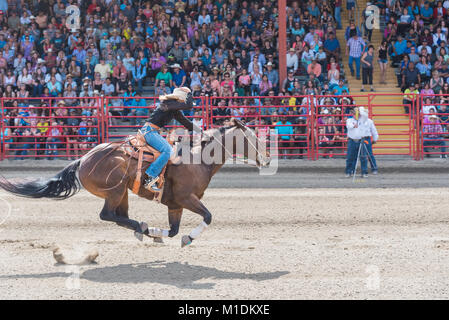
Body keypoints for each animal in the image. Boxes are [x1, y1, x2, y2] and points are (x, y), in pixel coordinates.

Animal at [0, 119, 270, 246]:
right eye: (253, 137)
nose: (267, 159)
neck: (197, 159)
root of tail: (83, 159)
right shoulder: (186, 198)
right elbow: (208, 216)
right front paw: (188, 238)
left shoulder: (176, 205)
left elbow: (174, 230)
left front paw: (161, 235)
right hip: (115, 189)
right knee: (108, 215)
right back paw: (142, 226)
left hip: (123, 193)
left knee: (119, 217)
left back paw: (143, 229)